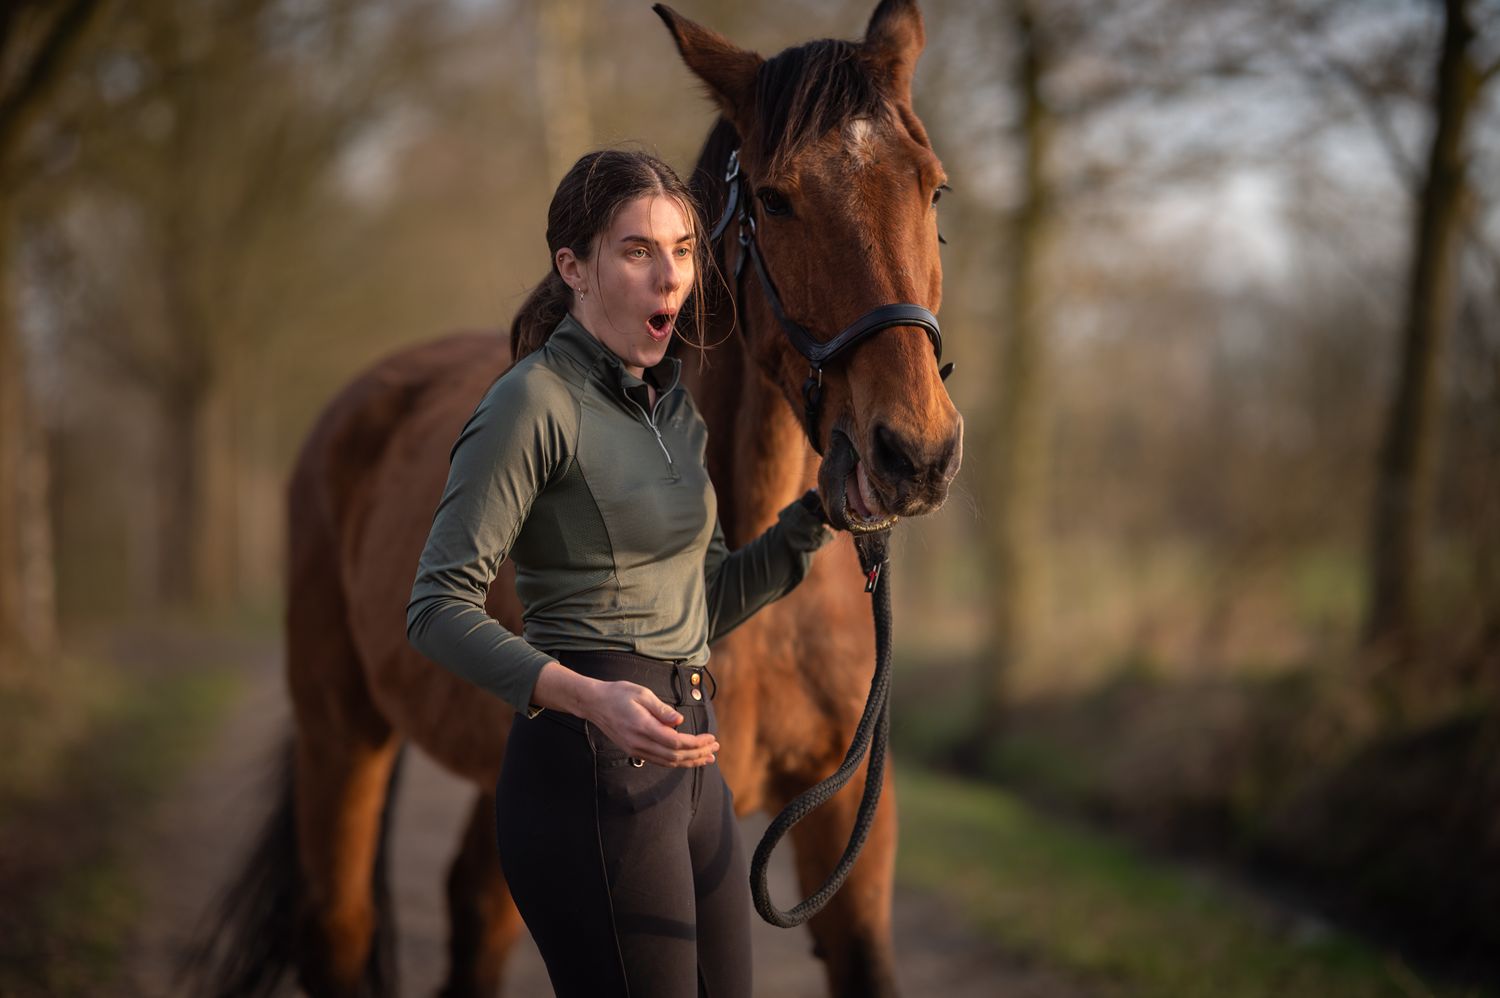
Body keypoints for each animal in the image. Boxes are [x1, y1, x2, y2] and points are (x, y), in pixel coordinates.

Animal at [192, 2, 961, 995]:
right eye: (777, 197)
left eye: (932, 190)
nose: (915, 451)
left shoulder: (846, 826)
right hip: (341, 733)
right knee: (341, 926)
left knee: (474, 911)